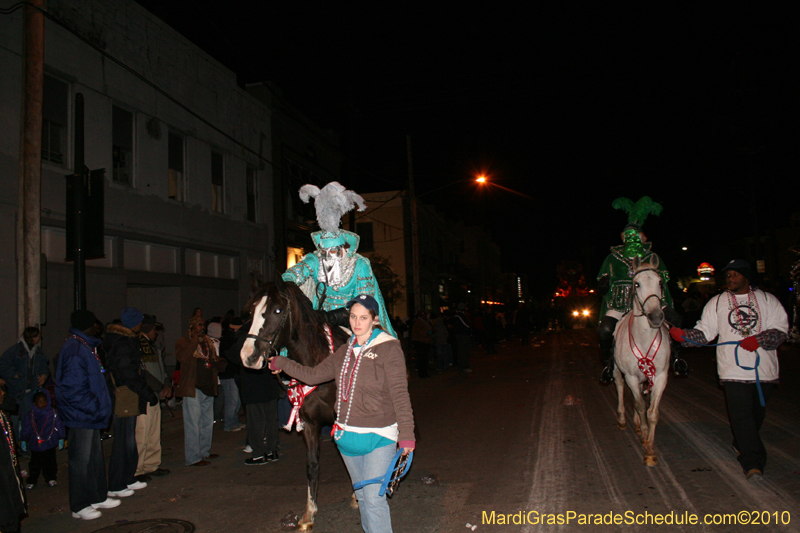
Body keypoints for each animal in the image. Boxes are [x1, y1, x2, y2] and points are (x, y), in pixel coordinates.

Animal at [239, 280, 348, 528]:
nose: (248, 356)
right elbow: (312, 465)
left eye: (278, 310)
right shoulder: (308, 423)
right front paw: (309, 514)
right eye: (251, 311)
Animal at [616, 255, 672, 466]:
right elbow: (640, 405)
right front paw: (646, 436)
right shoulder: (631, 376)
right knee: (620, 386)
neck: (644, 337)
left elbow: (652, 412)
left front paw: (649, 448)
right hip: (617, 371)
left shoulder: (661, 376)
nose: (656, 316)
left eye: (660, 283)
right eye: (637, 284)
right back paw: (623, 419)